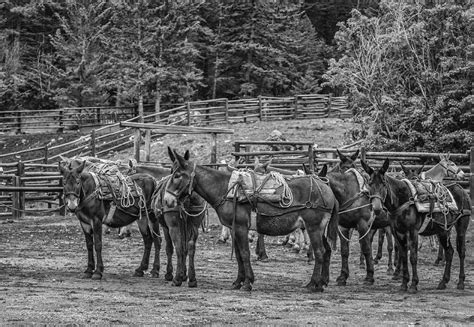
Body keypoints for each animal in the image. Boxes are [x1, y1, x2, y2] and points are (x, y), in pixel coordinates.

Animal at [165, 148, 338, 292]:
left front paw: (248, 282)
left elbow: (244, 253)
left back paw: (313, 284)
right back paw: (321, 283)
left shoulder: (241, 227)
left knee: (320, 252)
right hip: (320, 230)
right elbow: (239, 255)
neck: (226, 189)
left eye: (177, 175)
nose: (167, 200)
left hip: (313, 228)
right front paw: (238, 282)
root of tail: (326, 187)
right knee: (326, 251)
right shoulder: (233, 228)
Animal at [362, 159, 470, 292]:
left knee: (461, 251)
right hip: (443, 231)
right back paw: (443, 282)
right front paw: (403, 283)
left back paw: (461, 282)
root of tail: (461, 189)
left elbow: (413, 257)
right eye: (369, 183)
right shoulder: (398, 232)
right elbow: (403, 255)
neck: (403, 199)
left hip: (461, 226)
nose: (376, 208)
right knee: (449, 251)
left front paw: (413, 284)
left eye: (383, 183)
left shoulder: (412, 231)